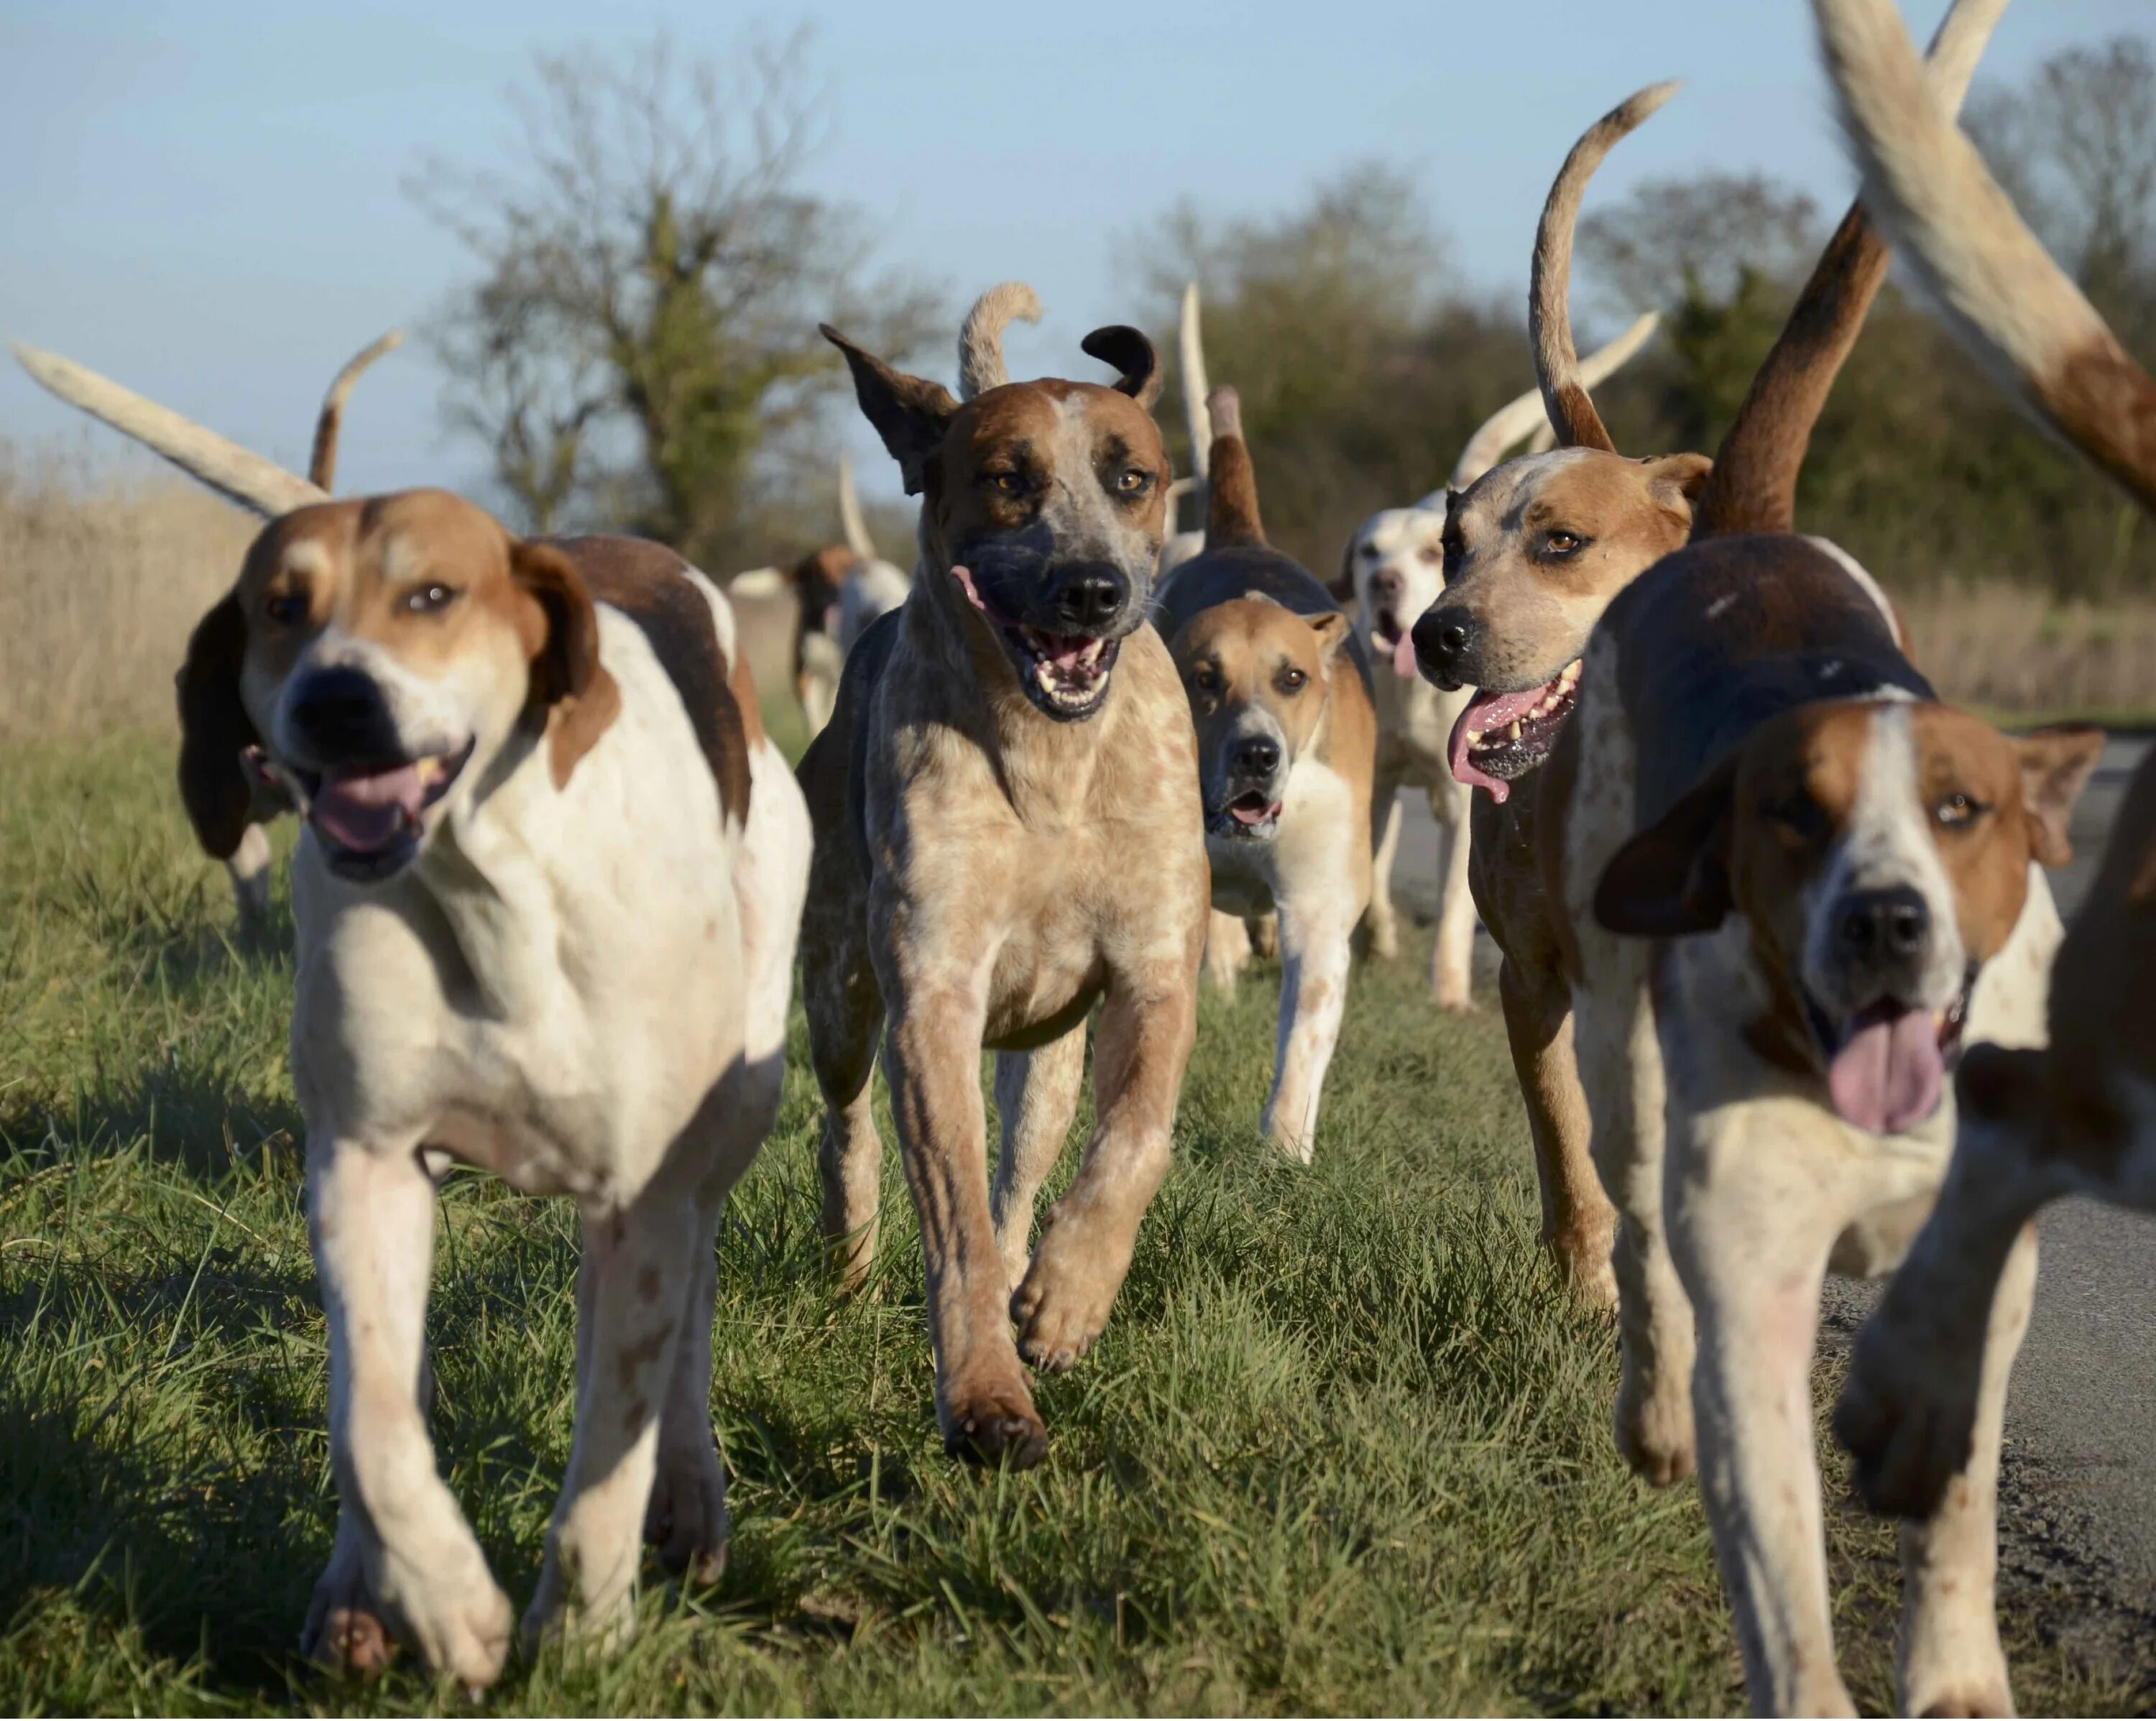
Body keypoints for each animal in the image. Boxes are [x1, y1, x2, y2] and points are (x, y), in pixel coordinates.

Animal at [19, 347, 811, 1681]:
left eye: (433, 594)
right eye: (279, 606)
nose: (336, 701)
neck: (490, 886)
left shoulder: (645, 1189)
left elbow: (612, 1436)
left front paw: (582, 1636)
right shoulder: (367, 1161)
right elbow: (374, 1426)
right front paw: (450, 1607)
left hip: (737, 1097)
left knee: (683, 1306)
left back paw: (689, 1496)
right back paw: (357, 1593)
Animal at [1156, 388, 1371, 1155]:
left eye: (1292, 678)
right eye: (1203, 679)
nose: (1256, 752)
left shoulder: (1318, 905)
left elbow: (1305, 1027)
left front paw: (1283, 1144)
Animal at [1328, 313, 1664, 1009]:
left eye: (1431, 555)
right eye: (1370, 552)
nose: (1386, 584)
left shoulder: (1463, 806)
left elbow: (1454, 909)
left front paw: (1449, 988)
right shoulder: (1377, 781)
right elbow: (1370, 872)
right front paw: (1378, 938)